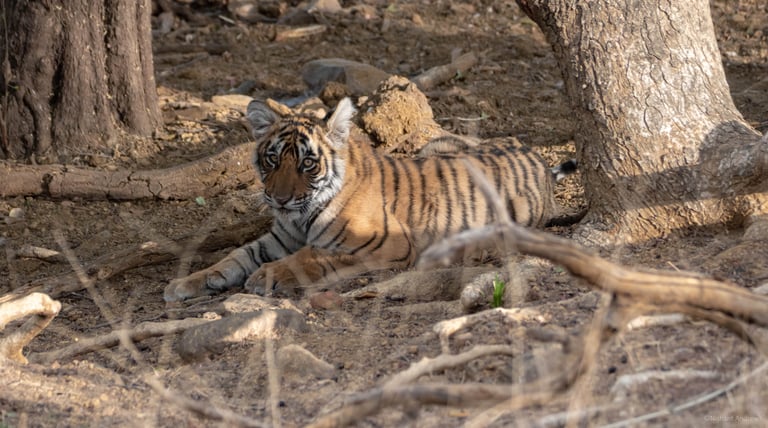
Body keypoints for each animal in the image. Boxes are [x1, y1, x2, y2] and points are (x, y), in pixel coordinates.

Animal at [163, 97, 577, 302]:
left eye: (308, 163)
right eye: (272, 159)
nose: (278, 200)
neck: (301, 215)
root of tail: (538, 157)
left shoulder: (387, 245)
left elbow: (311, 256)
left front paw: (266, 276)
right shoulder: (279, 236)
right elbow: (236, 256)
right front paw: (186, 283)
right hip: (438, 145)